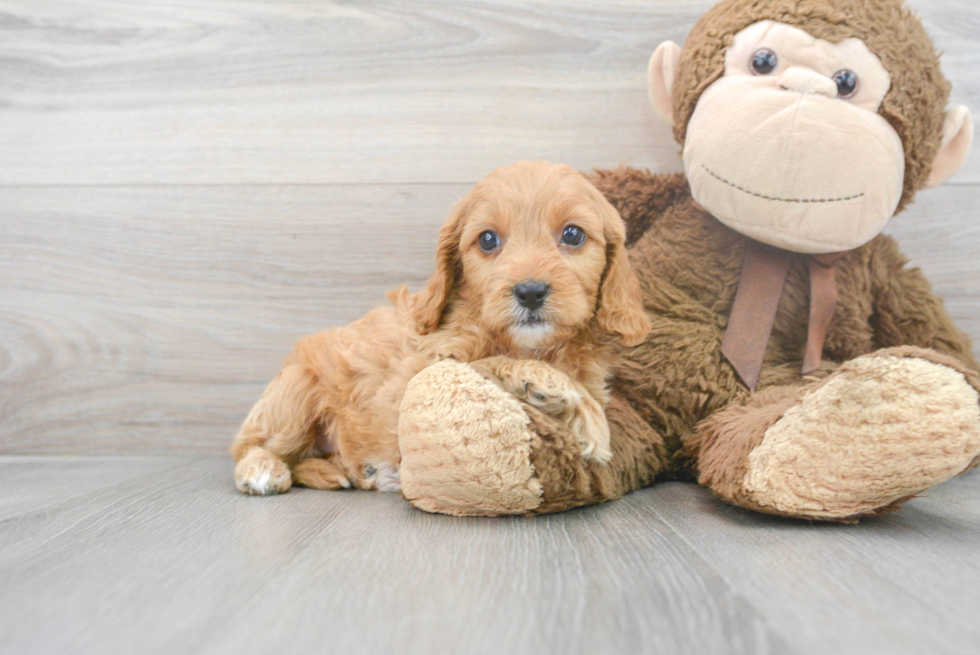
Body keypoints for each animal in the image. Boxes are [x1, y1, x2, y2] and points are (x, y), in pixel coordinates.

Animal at [232, 161, 652, 494]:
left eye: (573, 234)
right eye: (487, 240)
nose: (530, 292)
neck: (529, 345)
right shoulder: (418, 378)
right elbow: (483, 364)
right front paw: (561, 393)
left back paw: (343, 472)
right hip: (295, 394)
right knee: (247, 445)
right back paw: (263, 469)